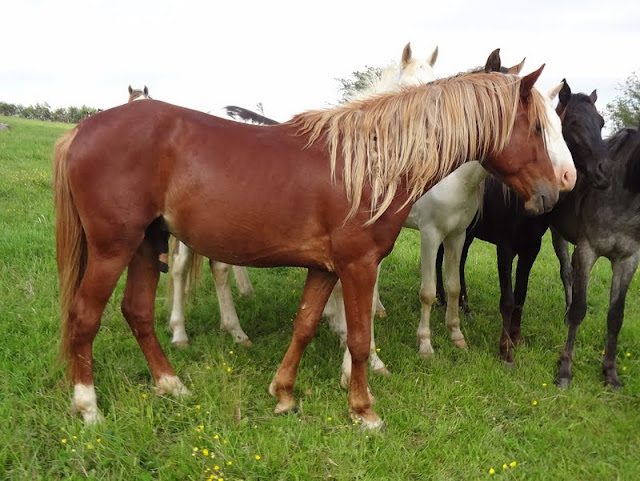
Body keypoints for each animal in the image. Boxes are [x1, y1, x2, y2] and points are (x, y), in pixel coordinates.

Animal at [166, 42, 440, 348]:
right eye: (407, 92)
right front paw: (343, 329)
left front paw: (334, 321)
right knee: (192, 269)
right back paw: (192, 333)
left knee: (202, 268)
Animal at [436, 79, 608, 364]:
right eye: (573, 122)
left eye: (601, 122)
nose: (604, 171)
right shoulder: (505, 248)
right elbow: (507, 299)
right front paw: (505, 349)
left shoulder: (531, 250)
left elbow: (521, 294)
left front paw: (517, 338)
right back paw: (443, 298)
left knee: (456, 263)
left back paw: (464, 306)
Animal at [552, 121, 636, 390]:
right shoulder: (588, 250)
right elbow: (580, 309)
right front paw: (565, 370)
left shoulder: (628, 260)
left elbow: (616, 316)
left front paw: (610, 372)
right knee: (566, 272)